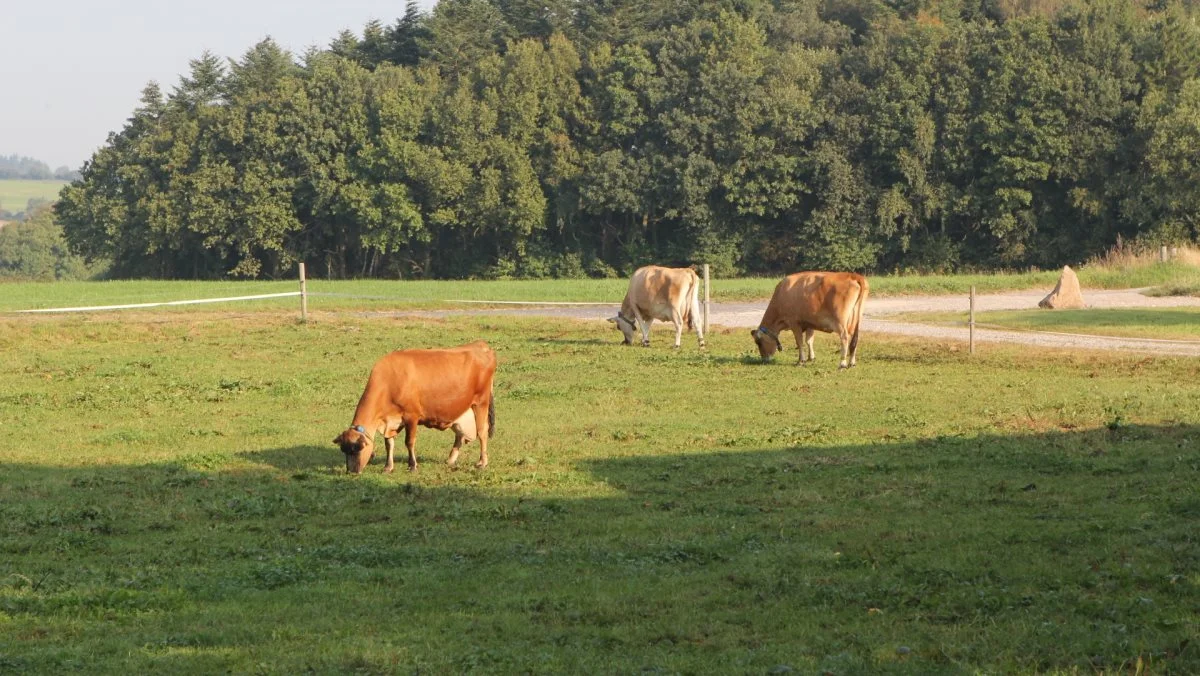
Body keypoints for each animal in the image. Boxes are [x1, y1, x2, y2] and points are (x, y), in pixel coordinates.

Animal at [331, 341, 494, 473]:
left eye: (358, 448)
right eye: (344, 450)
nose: (351, 471)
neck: (389, 382)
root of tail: (481, 345)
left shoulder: (412, 416)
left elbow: (409, 442)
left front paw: (412, 465)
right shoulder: (391, 421)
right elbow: (389, 443)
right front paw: (388, 467)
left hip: (481, 402)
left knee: (482, 431)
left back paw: (482, 462)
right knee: (460, 434)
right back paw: (451, 459)